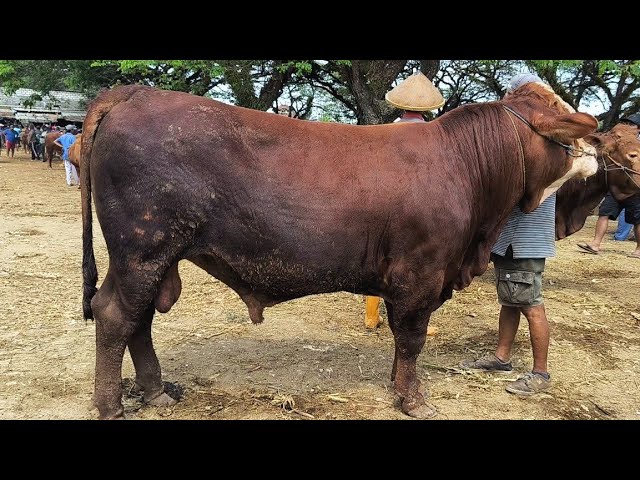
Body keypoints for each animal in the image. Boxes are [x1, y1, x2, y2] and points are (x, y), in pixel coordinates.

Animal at [80, 84, 598, 420]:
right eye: (561, 115)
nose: (596, 144)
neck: (465, 167)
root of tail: (135, 93)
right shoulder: (421, 274)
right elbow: (413, 338)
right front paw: (415, 400)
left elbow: (401, 343)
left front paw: (396, 386)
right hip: (142, 249)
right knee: (115, 315)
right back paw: (111, 406)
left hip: (151, 258)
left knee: (139, 319)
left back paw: (156, 394)